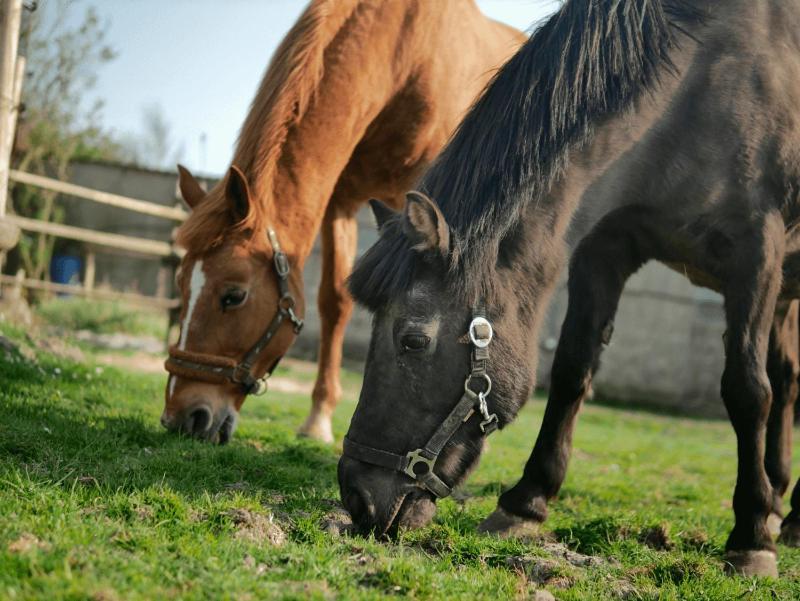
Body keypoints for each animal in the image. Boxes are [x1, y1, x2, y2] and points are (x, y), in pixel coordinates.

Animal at [161, 0, 524, 440]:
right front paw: (318, 419)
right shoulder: (341, 201)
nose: (182, 416)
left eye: (233, 296)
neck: (404, 55)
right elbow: (334, 302)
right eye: (181, 284)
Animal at [340, 0, 800, 580]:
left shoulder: (755, 255)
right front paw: (526, 502)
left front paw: (751, 535)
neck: (702, 85)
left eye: (413, 340)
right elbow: (571, 371)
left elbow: (746, 390)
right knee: (788, 379)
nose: (356, 497)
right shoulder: (605, 249)